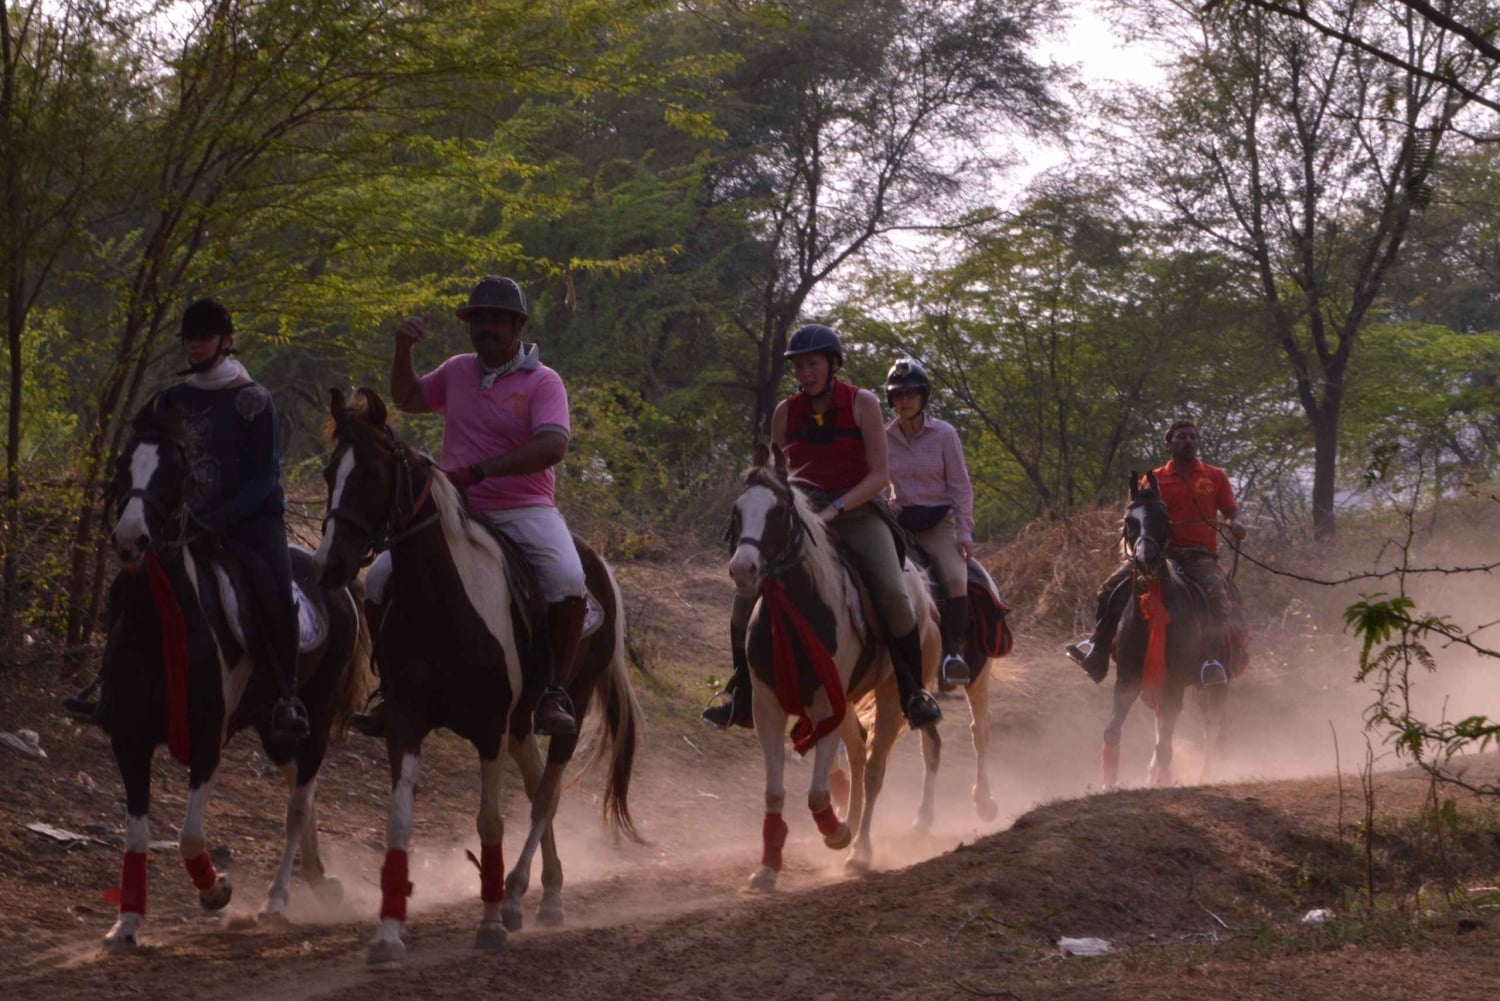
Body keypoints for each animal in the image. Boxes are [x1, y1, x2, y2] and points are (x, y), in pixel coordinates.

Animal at [97, 394, 371, 951]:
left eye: (174, 473)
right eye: (123, 466)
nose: (131, 539)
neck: (161, 623)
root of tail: (337, 584)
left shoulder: (206, 740)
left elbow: (189, 836)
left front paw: (216, 890)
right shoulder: (128, 740)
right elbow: (136, 834)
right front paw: (126, 923)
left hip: (309, 721)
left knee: (297, 803)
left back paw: (278, 899)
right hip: (273, 729)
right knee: (301, 790)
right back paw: (319, 877)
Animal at [312, 387, 641, 968]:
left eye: (373, 472)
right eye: (332, 471)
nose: (330, 566)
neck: (442, 602)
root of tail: (597, 564)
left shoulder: (488, 728)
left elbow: (491, 822)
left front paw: (488, 925)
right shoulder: (405, 722)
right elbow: (398, 822)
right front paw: (388, 935)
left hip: (570, 707)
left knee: (547, 793)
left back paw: (517, 898)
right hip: (520, 723)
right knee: (536, 785)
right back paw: (541, 892)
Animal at [726, 443, 941, 891]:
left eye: (778, 512)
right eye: (738, 511)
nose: (743, 569)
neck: (795, 612)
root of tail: (924, 597)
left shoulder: (826, 706)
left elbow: (818, 793)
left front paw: (835, 831)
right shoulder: (767, 708)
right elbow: (775, 791)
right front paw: (767, 866)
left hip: (892, 694)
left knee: (874, 767)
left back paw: (859, 849)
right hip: (849, 702)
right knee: (858, 756)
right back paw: (853, 824)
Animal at [1100, 470, 1228, 788]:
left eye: (1162, 516)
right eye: (1130, 520)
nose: (1147, 558)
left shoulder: (1173, 682)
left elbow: (1166, 743)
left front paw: (1161, 779)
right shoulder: (1127, 678)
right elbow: (1113, 729)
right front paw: (1109, 782)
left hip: (1213, 682)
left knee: (1211, 726)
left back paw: (1204, 772)